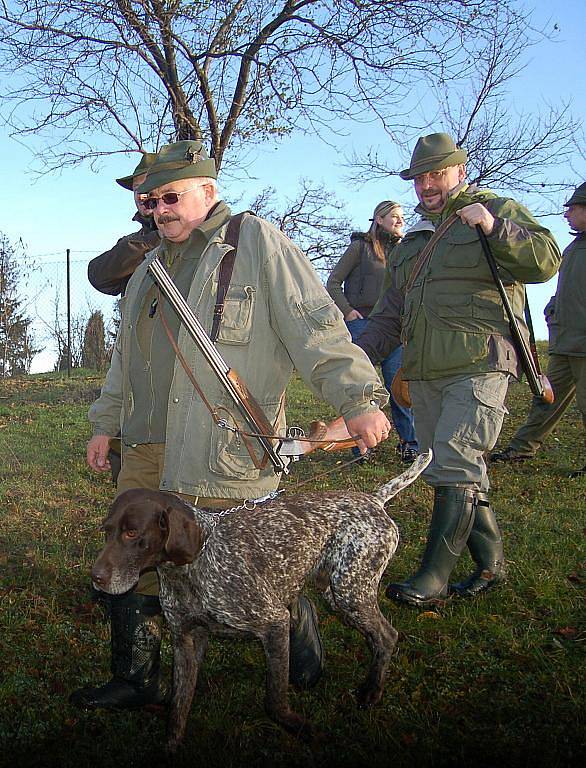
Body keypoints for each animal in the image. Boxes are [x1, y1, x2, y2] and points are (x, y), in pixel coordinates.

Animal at [91, 450, 428, 752]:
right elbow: (178, 706)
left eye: (132, 533)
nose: (95, 578)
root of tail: (374, 500)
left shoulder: (273, 624)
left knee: (387, 635)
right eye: (106, 531)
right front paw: (171, 746)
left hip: (350, 592)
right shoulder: (186, 639)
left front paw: (302, 728)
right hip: (335, 591)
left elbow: (274, 701)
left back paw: (372, 690)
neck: (192, 567)